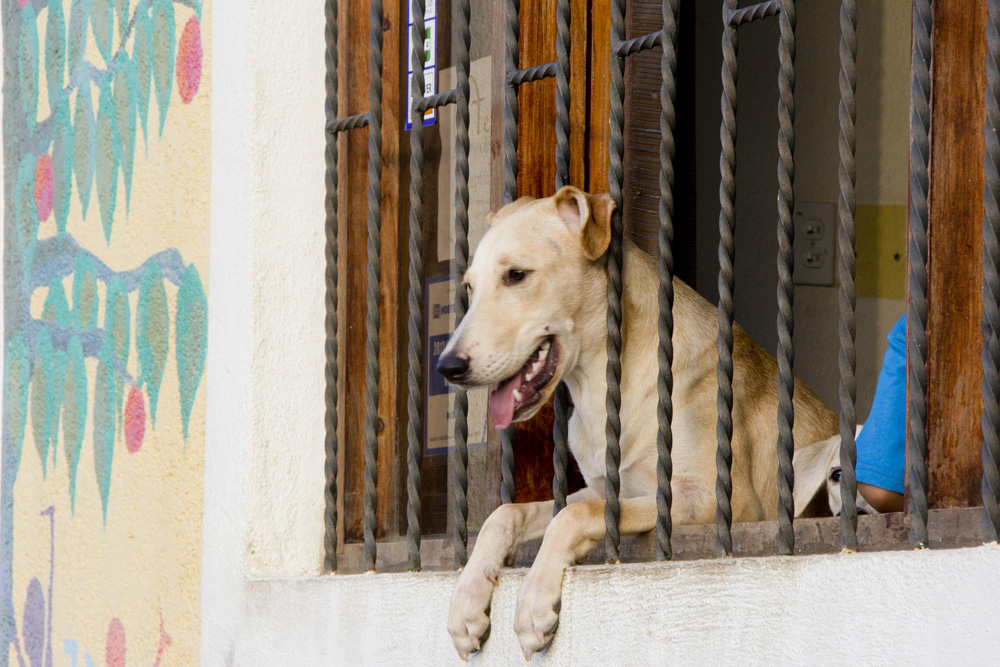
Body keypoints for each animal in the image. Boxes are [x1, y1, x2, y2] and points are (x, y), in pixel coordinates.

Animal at [438, 185, 836, 660]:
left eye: (516, 275)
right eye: (468, 287)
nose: (447, 368)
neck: (603, 387)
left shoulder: (721, 502)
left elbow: (572, 516)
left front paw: (533, 601)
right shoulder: (608, 488)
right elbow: (507, 513)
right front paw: (465, 601)